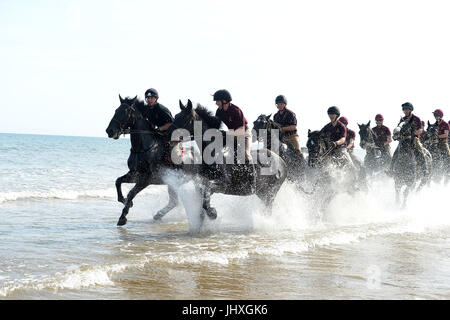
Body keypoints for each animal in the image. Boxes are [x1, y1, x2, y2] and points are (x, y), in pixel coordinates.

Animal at [106, 95, 196, 225]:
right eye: (116, 111)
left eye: (125, 112)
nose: (110, 131)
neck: (143, 148)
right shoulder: (134, 174)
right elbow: (118, 181)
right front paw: (125, 201)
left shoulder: (147, 178)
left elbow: (131, 193)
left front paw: (123, 217)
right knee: (174, 202)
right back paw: (158, 215)